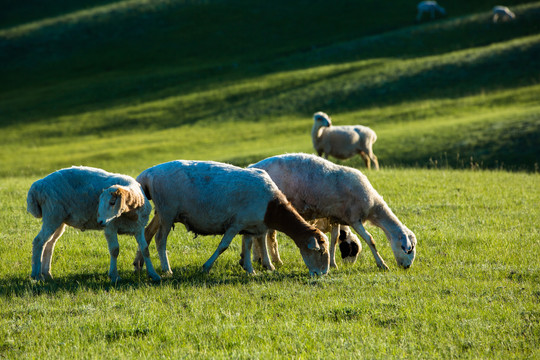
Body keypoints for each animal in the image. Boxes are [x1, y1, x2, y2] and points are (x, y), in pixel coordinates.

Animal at [26, 165, 160, 282]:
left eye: (112, 202)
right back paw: (37, 275)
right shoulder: (110, 227)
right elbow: (115, 250)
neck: (130, 213)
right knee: (39, 241)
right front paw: (114, 276)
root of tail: (37, 186)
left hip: (58, 220)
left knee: (49, 243)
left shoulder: (138, 228)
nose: (100, 221)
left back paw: (47, 274)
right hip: (52, 215)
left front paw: (154, 275)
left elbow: (145, 249)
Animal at [133, 160, 332, 276]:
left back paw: (139, 265)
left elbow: (252, 245)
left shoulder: (252, 226)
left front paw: (254, 269)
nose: (322, 274)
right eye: (321, 252)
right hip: (167, 211)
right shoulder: (236, 223)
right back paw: (167, 270)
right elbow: (224, 245)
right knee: (160, 239)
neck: (272, 207)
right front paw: (206, 267)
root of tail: (147, 174)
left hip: (162, 212)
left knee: (148, 233)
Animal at [240, 153, 418, 272]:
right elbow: (370, 240)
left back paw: (265, 260)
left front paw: (332, 263)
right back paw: (267, 263)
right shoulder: (354, 218)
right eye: (409, 249)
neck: (373, 206)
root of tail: (250, 167)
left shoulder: (336, 217)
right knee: (262, 236)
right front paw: (382, 264)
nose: (407, 267)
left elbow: (334, 239)